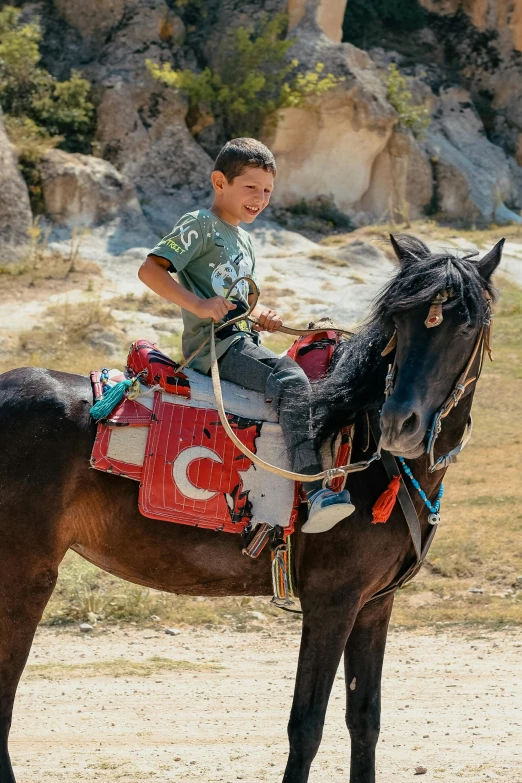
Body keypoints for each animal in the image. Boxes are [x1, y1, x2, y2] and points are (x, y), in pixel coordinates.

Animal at [0, 234, 502, 783]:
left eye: (466, 326)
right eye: (399, 322)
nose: (400, 424)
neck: (370, 453)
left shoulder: (373, 605)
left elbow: (364, 720)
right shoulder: (332, 601)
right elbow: (307, 726)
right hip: (25, 576)